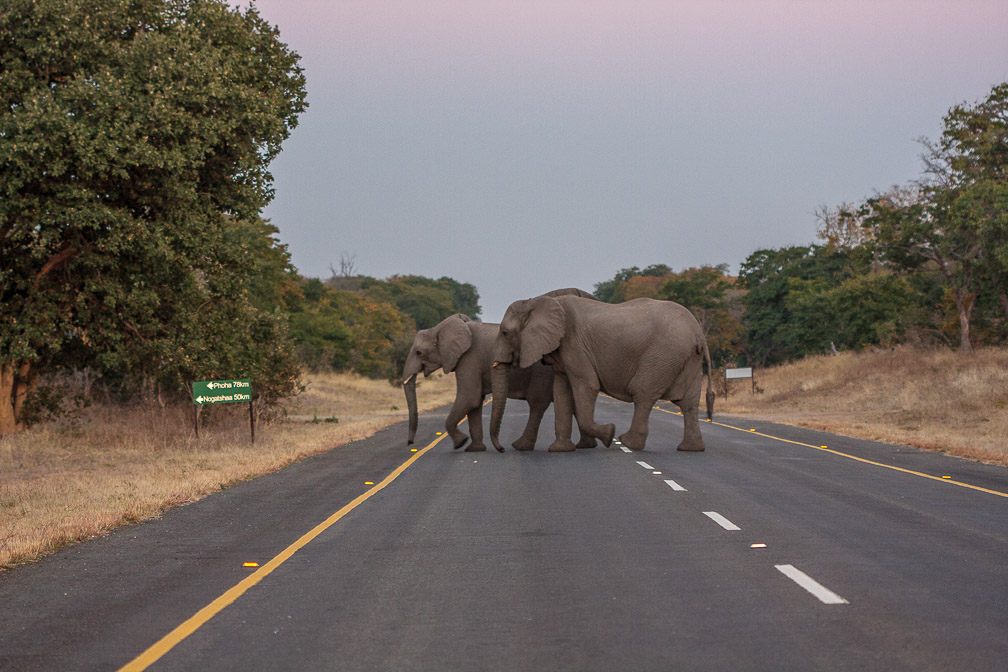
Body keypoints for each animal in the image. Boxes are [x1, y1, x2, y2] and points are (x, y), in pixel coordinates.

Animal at [397, 314, 592, 451]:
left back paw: (520, 447)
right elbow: (475, 402)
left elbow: (469, 397)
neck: (440, 327)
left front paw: (460, 443)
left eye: (419, 352)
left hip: (543, 372)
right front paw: (474, 449)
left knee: (537, 404)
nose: (409, 442)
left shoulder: (469, 359)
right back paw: (585, 446)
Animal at [489, 296, 717, 455]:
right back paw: (691, 449)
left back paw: (627, 442)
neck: (538, 301)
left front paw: (609, 434)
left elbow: (587, 386)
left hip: (663, 355)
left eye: (505, 333)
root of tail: (698, 333)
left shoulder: (574, 345)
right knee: (688, 403)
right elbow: (562, 392)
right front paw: (560, 450)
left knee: (643, 393)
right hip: (688, 359)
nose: (502, 449)